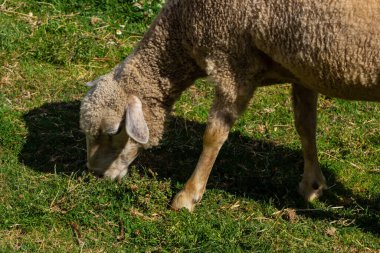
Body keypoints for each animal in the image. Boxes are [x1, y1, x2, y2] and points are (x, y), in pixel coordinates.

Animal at [78, 0, 378, 211]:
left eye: (113, 132)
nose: (95, 173)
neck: (181, 27)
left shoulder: (231, 62)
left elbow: (213, 135)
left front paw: (188, 196)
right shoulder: (302, 67)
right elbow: (305, 126)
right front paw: (312, 185)